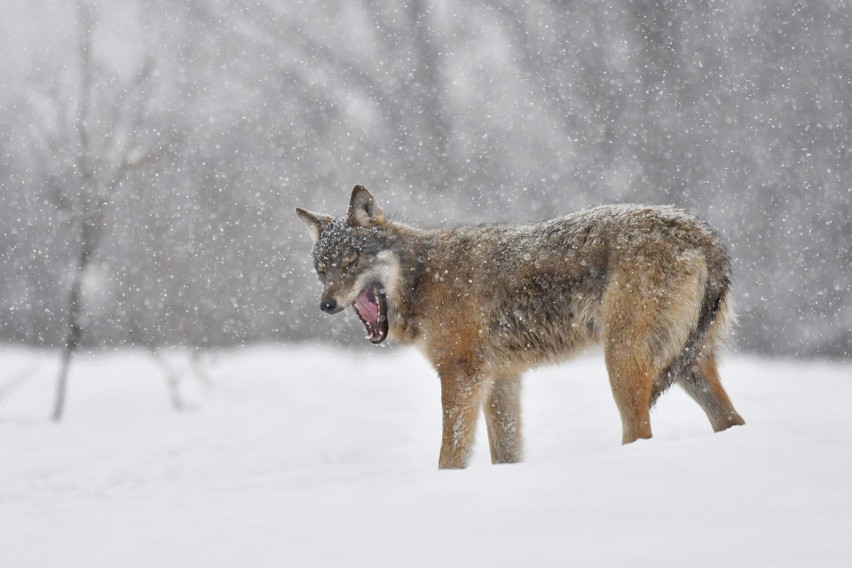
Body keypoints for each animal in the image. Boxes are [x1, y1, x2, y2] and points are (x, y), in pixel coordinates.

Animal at [298, 186, 744, 470]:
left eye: (352, 261)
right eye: (322, 270)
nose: (326, 305)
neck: (425, 279)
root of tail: (702, 234)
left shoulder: (462, 375)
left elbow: (449, 454)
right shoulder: (502, 379)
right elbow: (506, 453)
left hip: (622, 363)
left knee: (640, 432)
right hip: (687, 367)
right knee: (732, 421)